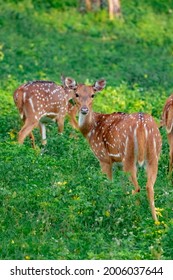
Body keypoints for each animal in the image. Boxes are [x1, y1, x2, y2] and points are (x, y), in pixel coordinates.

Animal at [63, 77, 162, 221]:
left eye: (93, 95)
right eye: (77, 94)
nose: (84, 109)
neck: (91, 130)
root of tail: (142, 125)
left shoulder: (104, 158)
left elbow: (108, 185)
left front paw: (107, 209)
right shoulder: (118, 165)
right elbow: (121, 187)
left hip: (128, 156)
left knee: (137, 187)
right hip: (154, 157)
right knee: (149, 187)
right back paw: (154, 221)